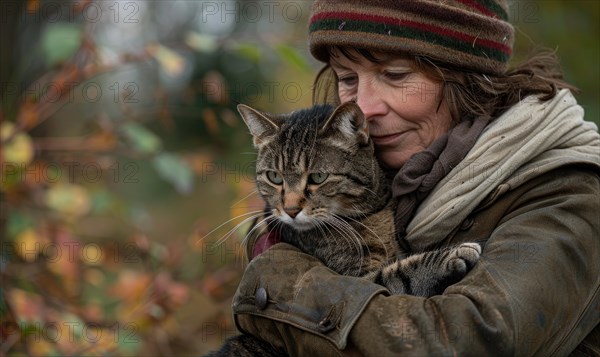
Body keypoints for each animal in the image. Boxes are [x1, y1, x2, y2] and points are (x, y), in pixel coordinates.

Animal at [209, 101, 480, 354]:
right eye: (274, 177)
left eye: (318, 177)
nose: (291, 209)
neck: (369, 214)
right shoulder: (358, 280)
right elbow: (397, 275)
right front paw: (451, 256)